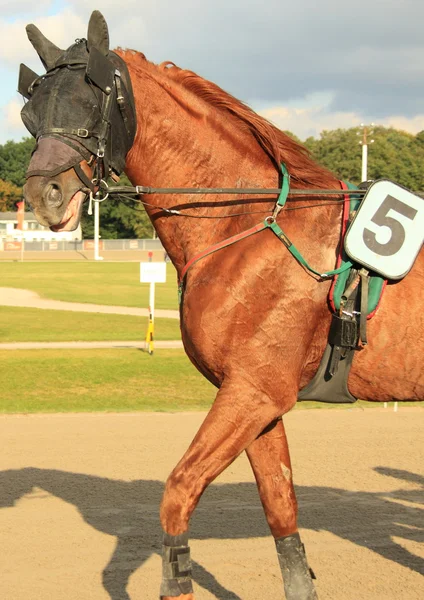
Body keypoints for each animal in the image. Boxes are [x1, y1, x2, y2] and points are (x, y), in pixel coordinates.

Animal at [20, 9, 424, 600]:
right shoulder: (258, 399)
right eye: (31, 110)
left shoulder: (253, 392)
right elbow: (280, 508)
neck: (247, 221)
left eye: (92, 99)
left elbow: (178, 491)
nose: (42, 195)